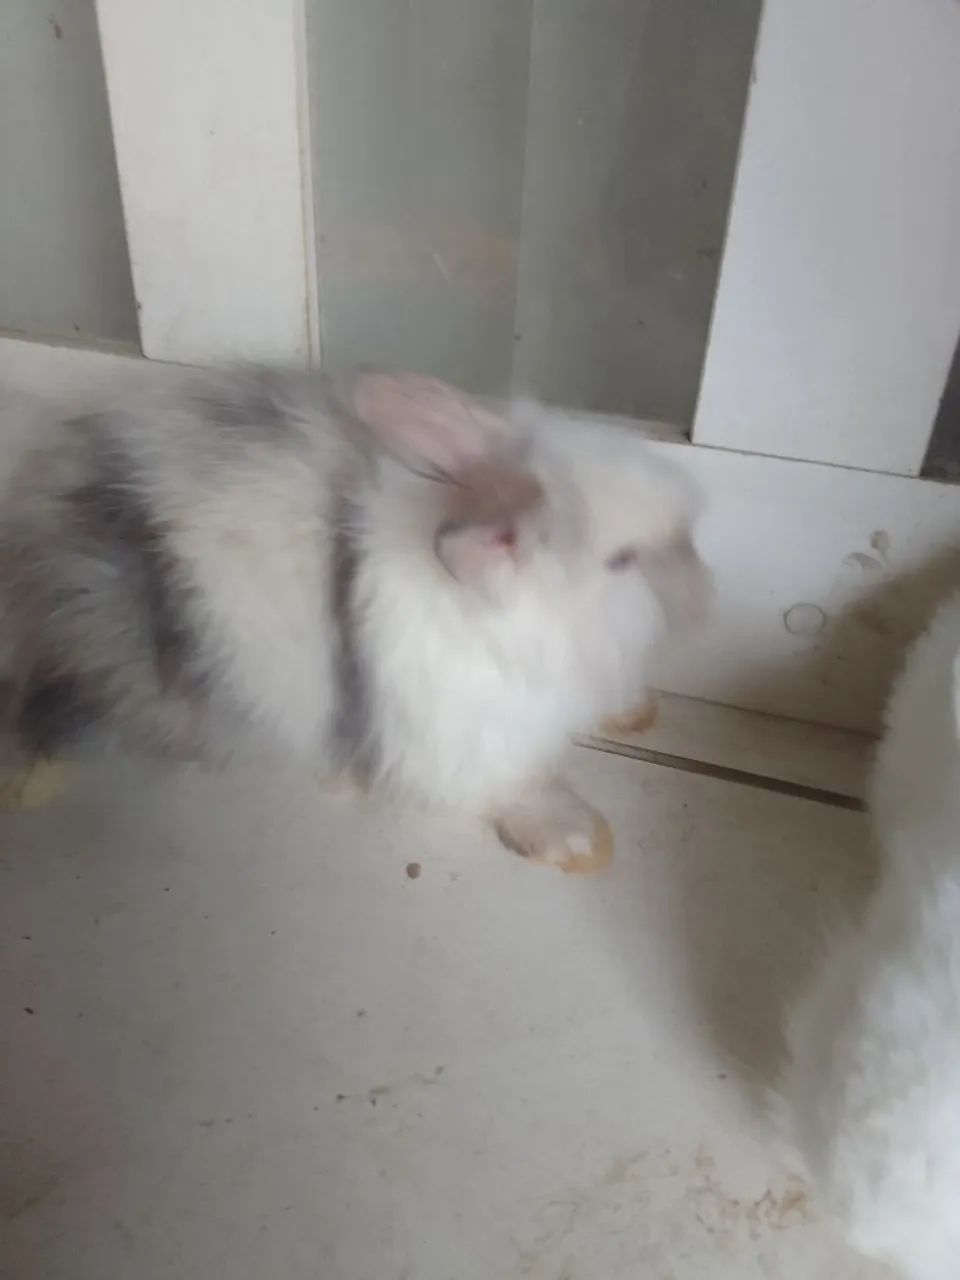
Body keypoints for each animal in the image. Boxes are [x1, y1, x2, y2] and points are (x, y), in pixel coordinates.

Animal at [0, 366, 706, 871]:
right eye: (623, 560)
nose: (701, 583)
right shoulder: (462, 746)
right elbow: (512, 787)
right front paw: (579, 837)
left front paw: (634, 712)